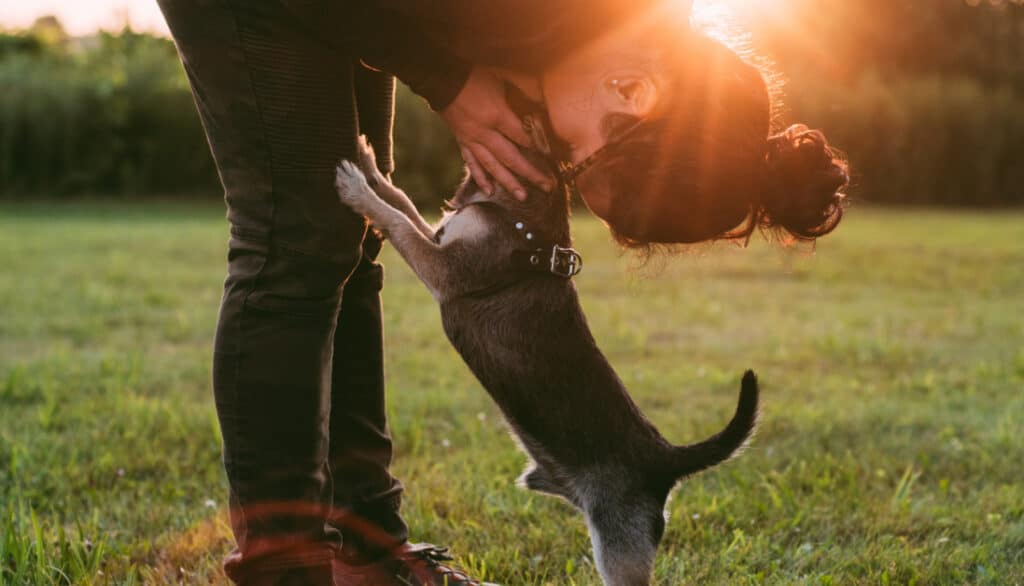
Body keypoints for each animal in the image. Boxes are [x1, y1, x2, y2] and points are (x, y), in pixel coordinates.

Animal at [331, 138, 757, 586]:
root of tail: (663, 457)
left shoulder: (443, 268)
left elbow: (397, 220)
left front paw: (356, 189)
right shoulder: (438, 238)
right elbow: (401, 201)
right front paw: (370, 167)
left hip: (620, 546)